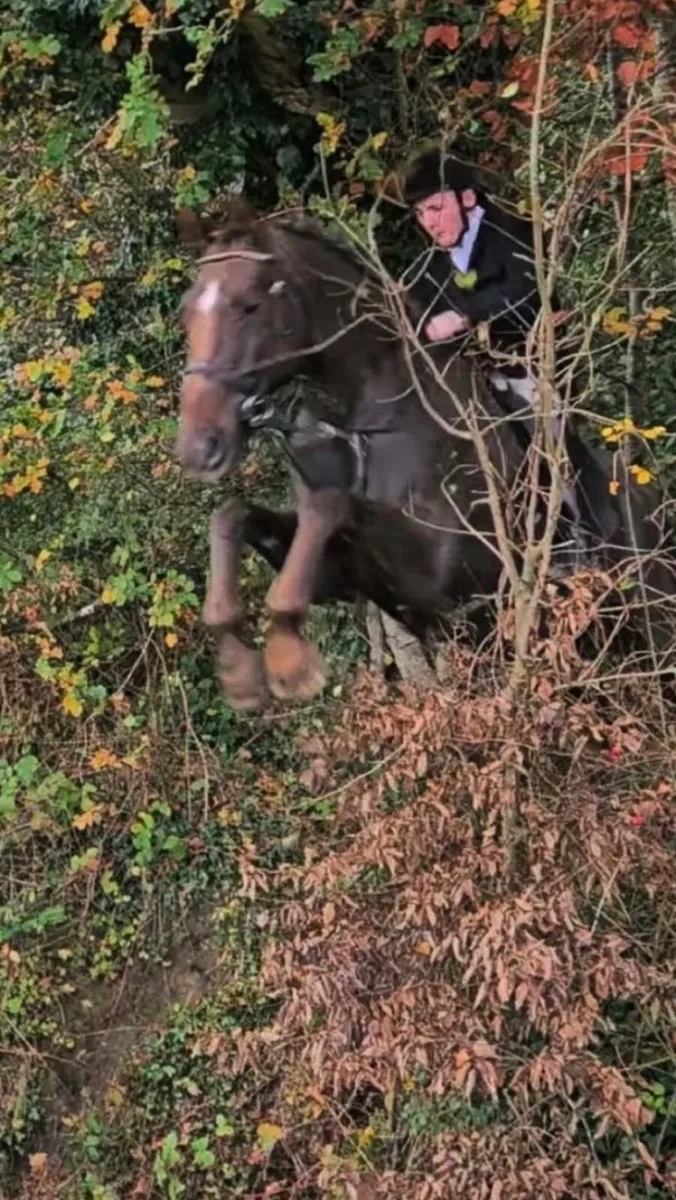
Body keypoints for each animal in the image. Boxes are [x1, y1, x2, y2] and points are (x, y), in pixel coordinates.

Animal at [174, 204, 675, 710]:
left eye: (250, 305)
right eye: (186, 312)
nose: (199, 447)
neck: (375, 421)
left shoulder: (446, 574)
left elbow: (331, 504)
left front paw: (288, 663)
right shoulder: (346, 578)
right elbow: (233, 514)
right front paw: (239, 668)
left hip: (654, 627)